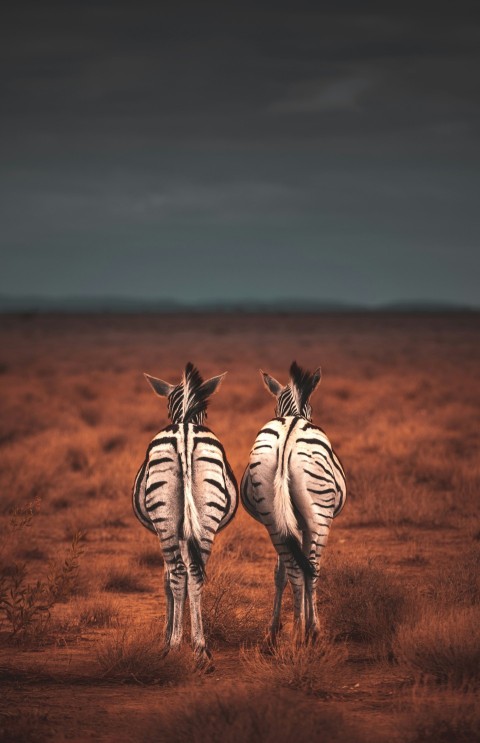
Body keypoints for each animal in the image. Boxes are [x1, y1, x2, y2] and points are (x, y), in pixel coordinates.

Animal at [131, 364, 238, 672]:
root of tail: (185, 435)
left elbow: (166, 580)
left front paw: (167, 638)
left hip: (166, 522)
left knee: (179, 573)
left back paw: (176, 647)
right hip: (204, 519)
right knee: (195, 574)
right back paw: (200, 650)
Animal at [242, 362, 346, 644]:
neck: (294, 413)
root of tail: (287, 441)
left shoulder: (291, 523)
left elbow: (280, 574)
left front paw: (275, 628)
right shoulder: (305, 524)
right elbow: (308, 567)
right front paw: (308, 624)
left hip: (272, 515)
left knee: (291, 570)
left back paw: (290, 630)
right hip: (319, 515)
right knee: (311, 569)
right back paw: (308, 630)